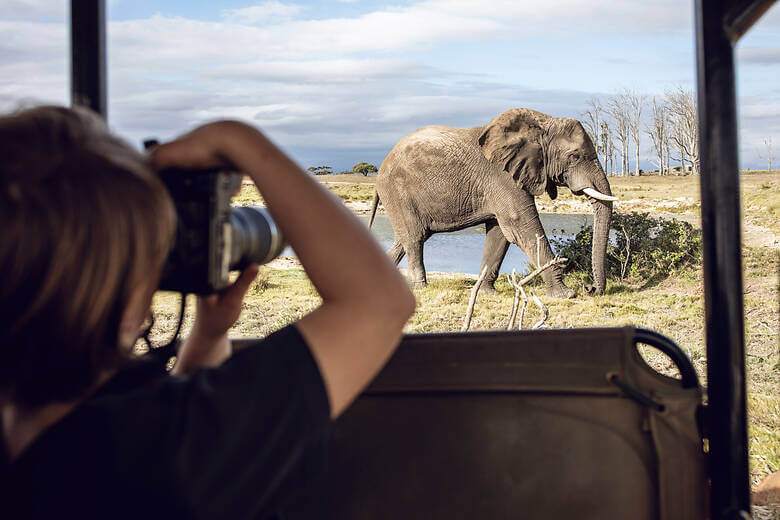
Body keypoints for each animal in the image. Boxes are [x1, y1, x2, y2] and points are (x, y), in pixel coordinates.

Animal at [368, 106, 620, 296]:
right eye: (575, 156)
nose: (590, 289)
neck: (542, 123)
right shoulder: (502, 177)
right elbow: (520, 226)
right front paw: (566, 294)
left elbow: (500, 233)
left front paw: (487, 293)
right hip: (398, 191)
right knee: (415, 238)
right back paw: (420, 288)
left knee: (407, 238)